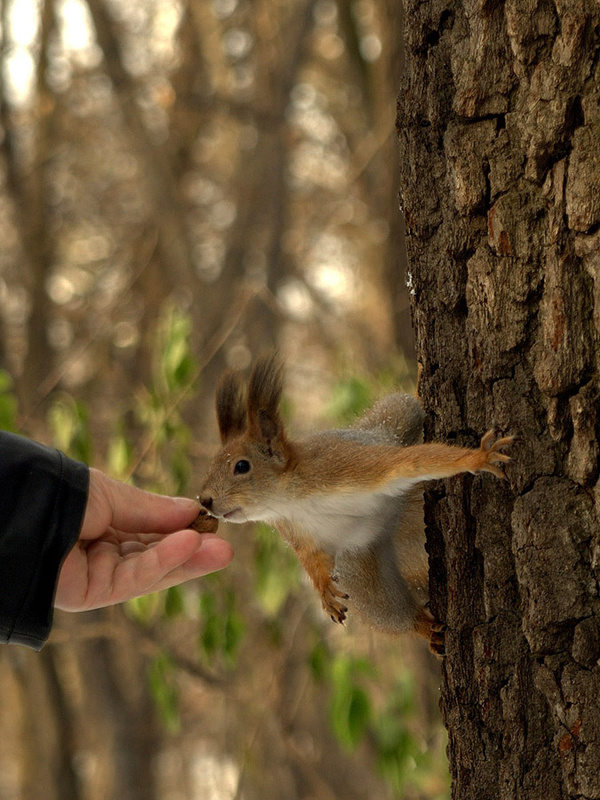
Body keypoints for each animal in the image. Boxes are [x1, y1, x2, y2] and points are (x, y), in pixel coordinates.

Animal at [200, 354, 510, 652]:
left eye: (242, 466)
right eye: (212, 464)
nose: (204, 500)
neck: (289, 499)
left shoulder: (341, 467)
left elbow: (406, 463)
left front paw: (478, 457)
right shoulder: (293, 529)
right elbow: (310, 557)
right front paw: (324, 592)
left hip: (388, 425)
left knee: (406, 408)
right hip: (362, 560)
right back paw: (423, 627)